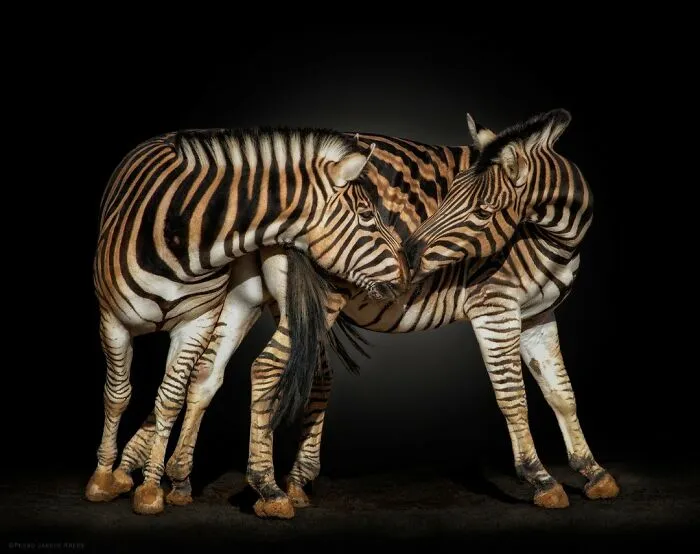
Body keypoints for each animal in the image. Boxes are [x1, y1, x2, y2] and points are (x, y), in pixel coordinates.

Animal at [86, 127, 410, 515]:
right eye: (365, 216)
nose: (407, 274)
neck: (186, 235)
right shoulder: (112, 321)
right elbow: (118, 395)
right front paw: (102, 478)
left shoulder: (197, 322)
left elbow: (169, 398)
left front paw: (149, 489)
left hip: (244, 302)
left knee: (206, 377)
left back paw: (171, 480)